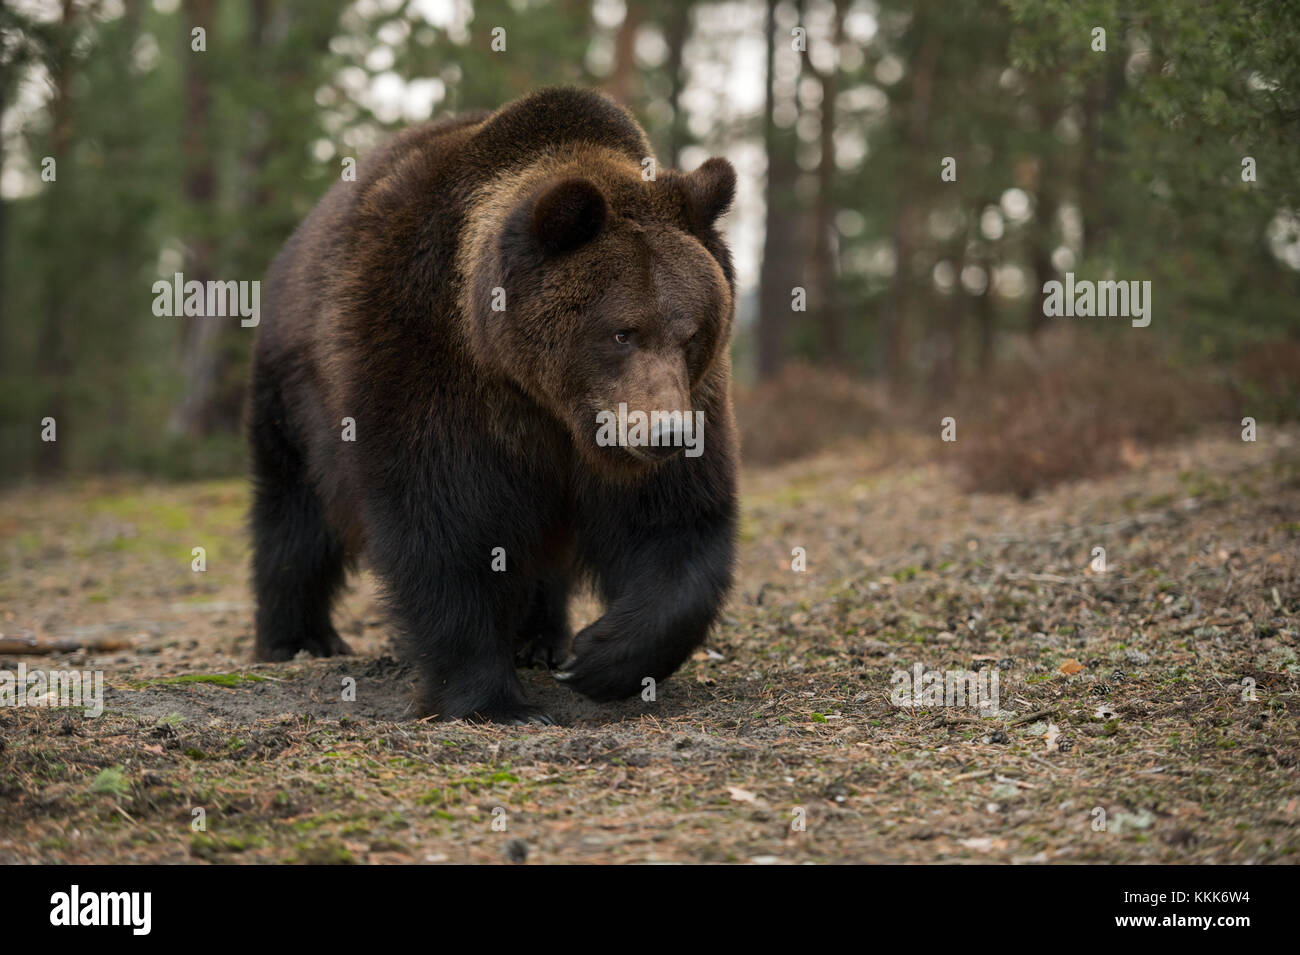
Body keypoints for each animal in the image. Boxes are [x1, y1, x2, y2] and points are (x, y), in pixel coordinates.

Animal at [248, 87, 738, 724]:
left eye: (691, 332)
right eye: (621, 332)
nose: (666, 433)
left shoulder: (683, 401)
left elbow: (676, 525)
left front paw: (599, 657)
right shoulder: (425, 367)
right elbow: (443, 528)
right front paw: (493, 699)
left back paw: (540, 639)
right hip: (295, 393)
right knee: (295, 513)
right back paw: (299, 639)